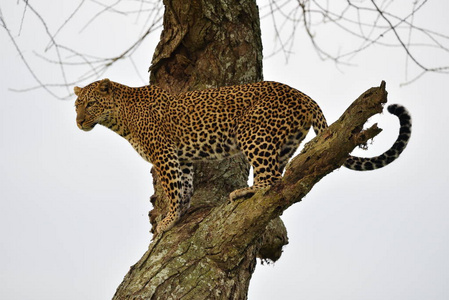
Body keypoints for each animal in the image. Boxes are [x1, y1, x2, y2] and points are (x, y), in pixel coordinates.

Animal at [72, 79, 410, 234]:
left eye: (90, 103)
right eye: (77, 105)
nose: (78, 121)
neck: (120, 119)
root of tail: (302, 94)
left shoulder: (164, 154)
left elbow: (173, 189)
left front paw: (167, 221)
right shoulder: (181, 159)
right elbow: (184, 188)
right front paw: (178, 215)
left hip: (253, 135)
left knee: (269, 181)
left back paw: (245, 191)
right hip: (283, 143)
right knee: (280, 179)